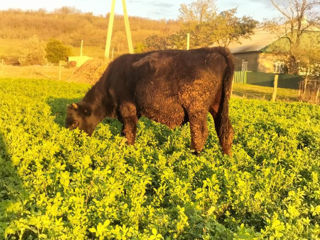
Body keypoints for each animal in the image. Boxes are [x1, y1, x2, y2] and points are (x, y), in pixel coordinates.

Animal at [65, 47, 235, 156]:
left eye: (74, 123)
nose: (70, 144)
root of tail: (215, 50)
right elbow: (124, 131)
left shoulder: (128, 109)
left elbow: (129, 132)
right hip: (218, 107)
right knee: (225, 131)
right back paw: (226, 159)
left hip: (196, 110)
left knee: (199, 134)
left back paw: (193, 157)